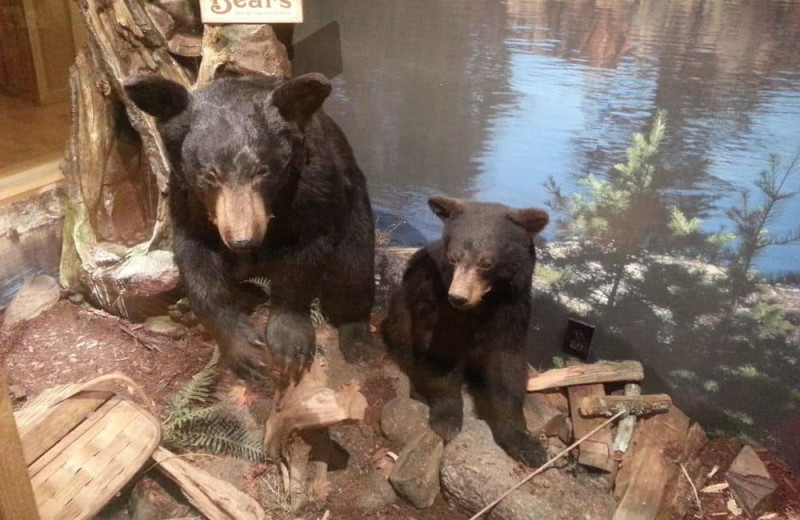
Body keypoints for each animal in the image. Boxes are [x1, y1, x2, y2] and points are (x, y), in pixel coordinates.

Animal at [124, 72, 376, 374]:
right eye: (210, 175)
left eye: (263, 171)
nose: (244, 240)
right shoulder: (187, 199)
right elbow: (197, 260)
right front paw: (247, 350)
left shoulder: (314, 186)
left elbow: (305, 250)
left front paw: (290, 347)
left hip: (356, 210)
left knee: (353, 270)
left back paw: (356, 339)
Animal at [382, 195, 552, 468]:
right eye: (454, 258)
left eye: (486, 263)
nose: (458, 297)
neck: (483, 304)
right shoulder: (436, 301)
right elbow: (438, 352)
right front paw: (447, 419)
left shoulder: (512, 307)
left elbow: (508, 366)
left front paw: (526, 445)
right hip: (400, 308)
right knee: (404, 339)